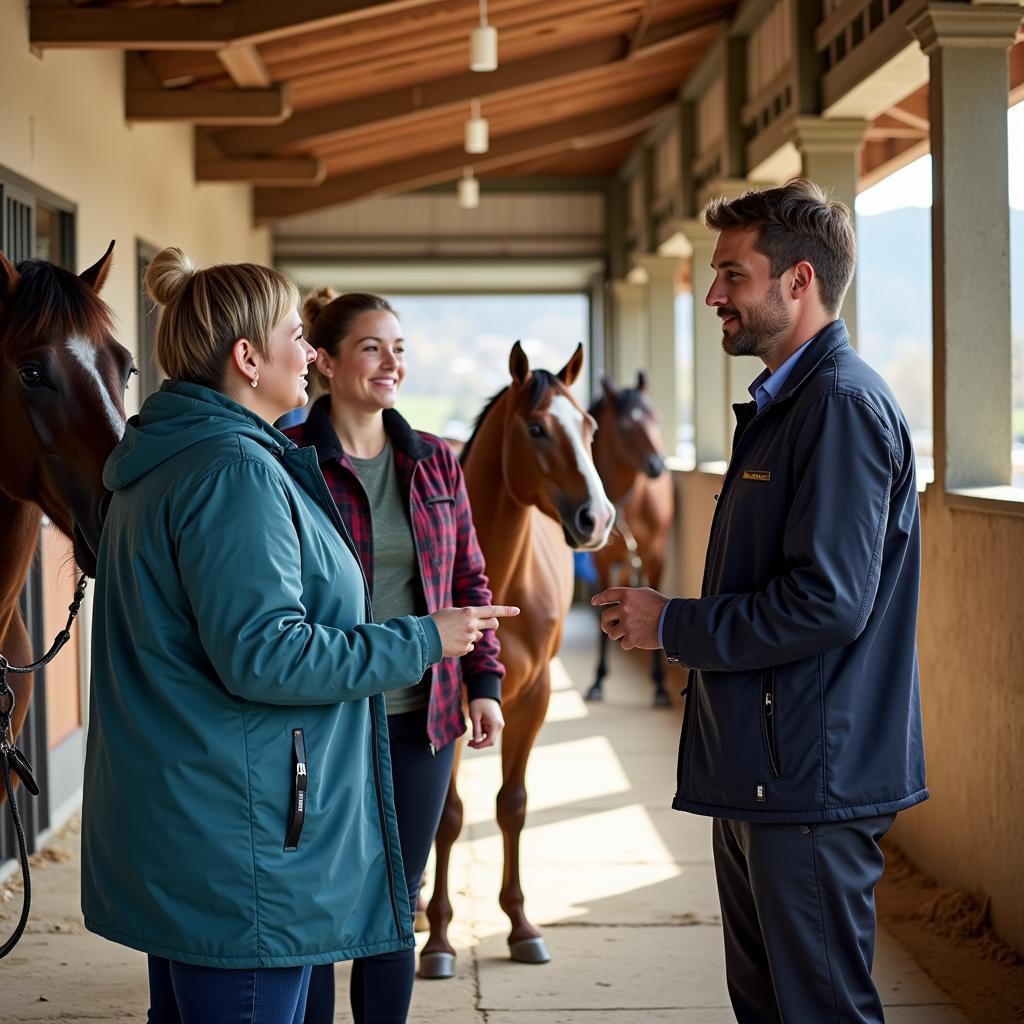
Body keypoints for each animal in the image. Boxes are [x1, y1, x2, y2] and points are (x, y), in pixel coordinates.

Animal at [419, 342, 610, 974]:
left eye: (590, 427)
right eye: (536, 429)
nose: (598, 518)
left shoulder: (533, 699)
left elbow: (514, 806)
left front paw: (521, 926)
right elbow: (448, 816)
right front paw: (439, 938)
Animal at [581, 374, 675, 704]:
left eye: (657, 417)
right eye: (623, 426)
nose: (657, 466)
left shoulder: (657, 556)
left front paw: (660, 684)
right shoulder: (601, 561)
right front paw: (598, 679)